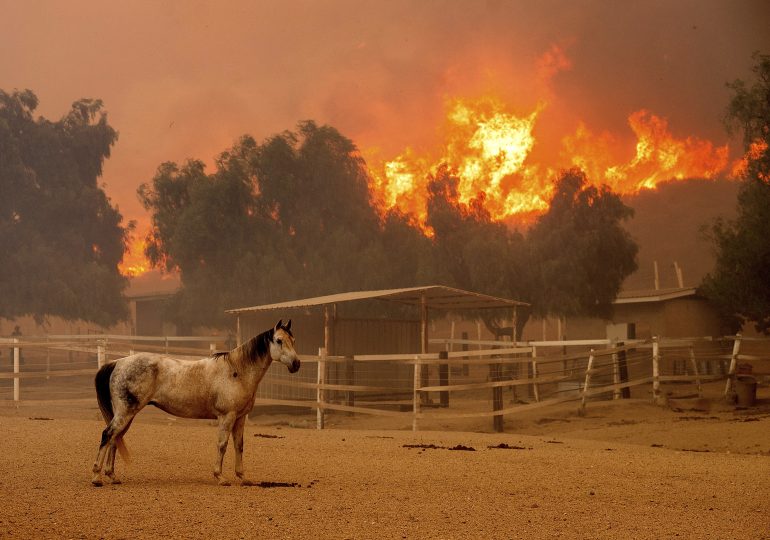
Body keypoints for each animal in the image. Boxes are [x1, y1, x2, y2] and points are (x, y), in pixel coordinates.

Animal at [88, 318, 296, 488]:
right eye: (279, 340)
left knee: (115, 439)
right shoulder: (226, 416)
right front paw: (220, 477)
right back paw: (97, 477)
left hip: (126, 414)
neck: (236, 371)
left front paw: (243, 478)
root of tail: (118, 362)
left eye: (293, 340)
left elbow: (239, 446)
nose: (296, 364)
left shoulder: (240, 418)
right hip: (125, 412)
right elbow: (222, 444)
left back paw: (112, 476)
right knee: (107, 435)